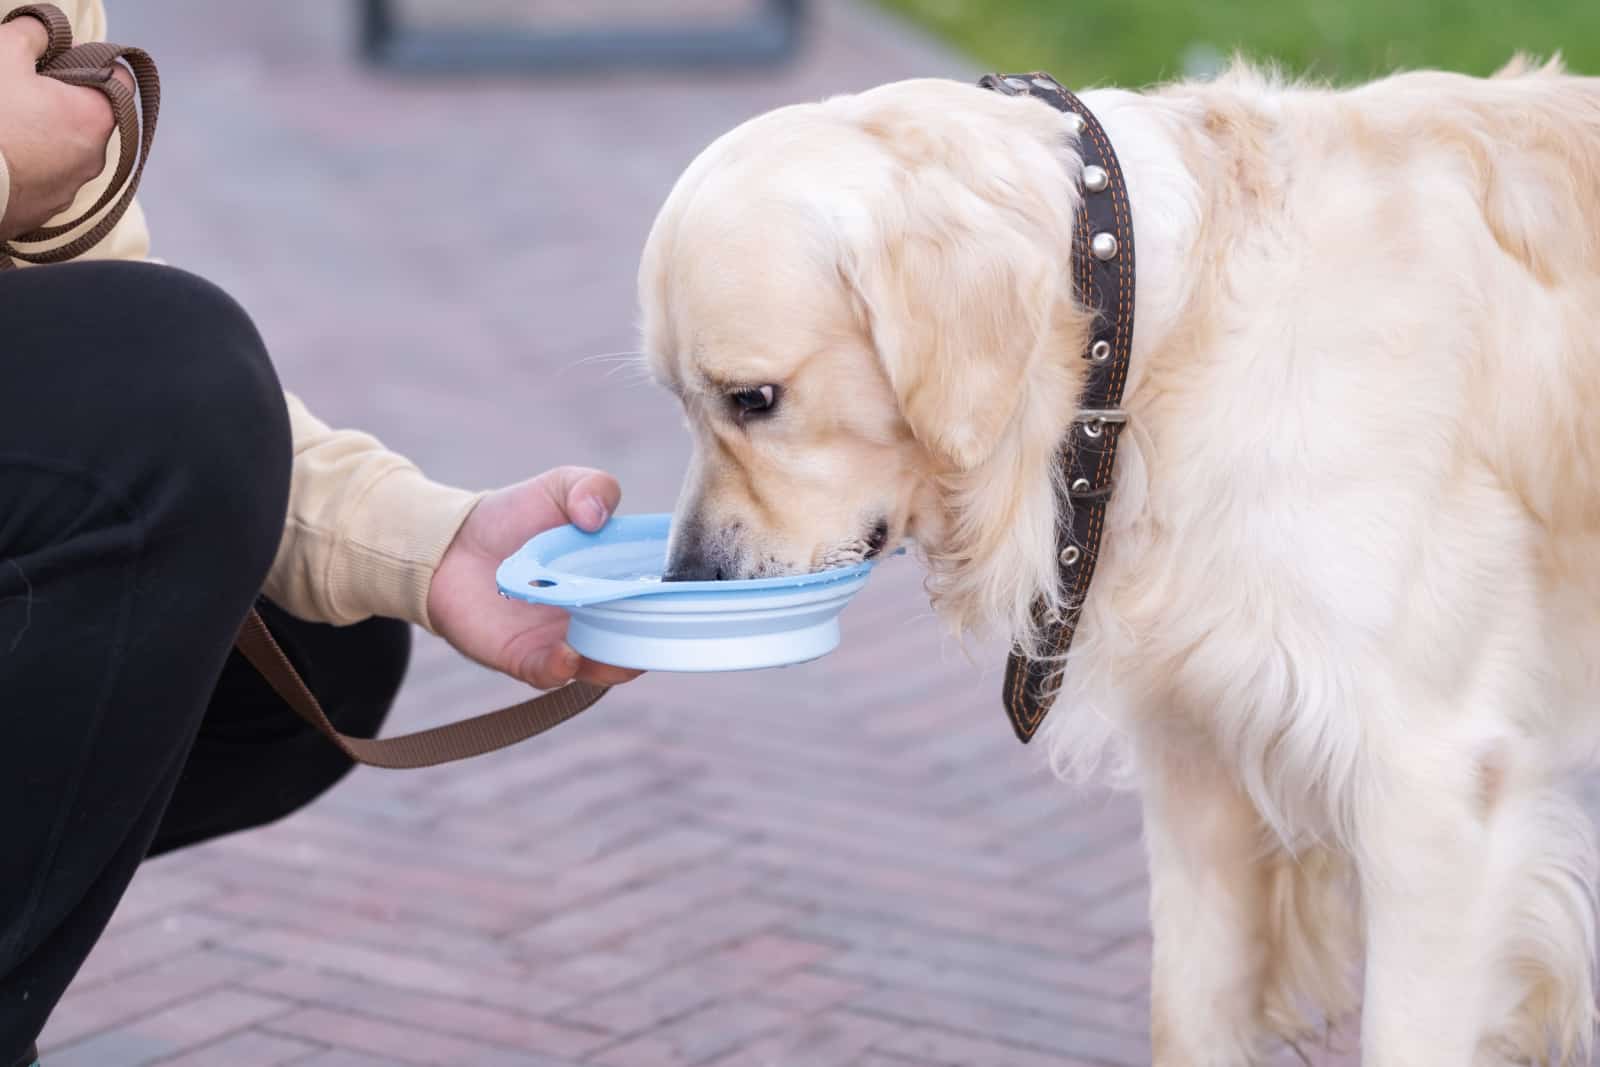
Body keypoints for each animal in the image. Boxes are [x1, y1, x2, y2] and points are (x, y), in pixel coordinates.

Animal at [630, 60, 1600, 1067]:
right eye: (683, 402)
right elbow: (1187, 1012)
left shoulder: (1429, 786)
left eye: (753, 398)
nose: (690, 578)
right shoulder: (1200, 757)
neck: (1154, 339)